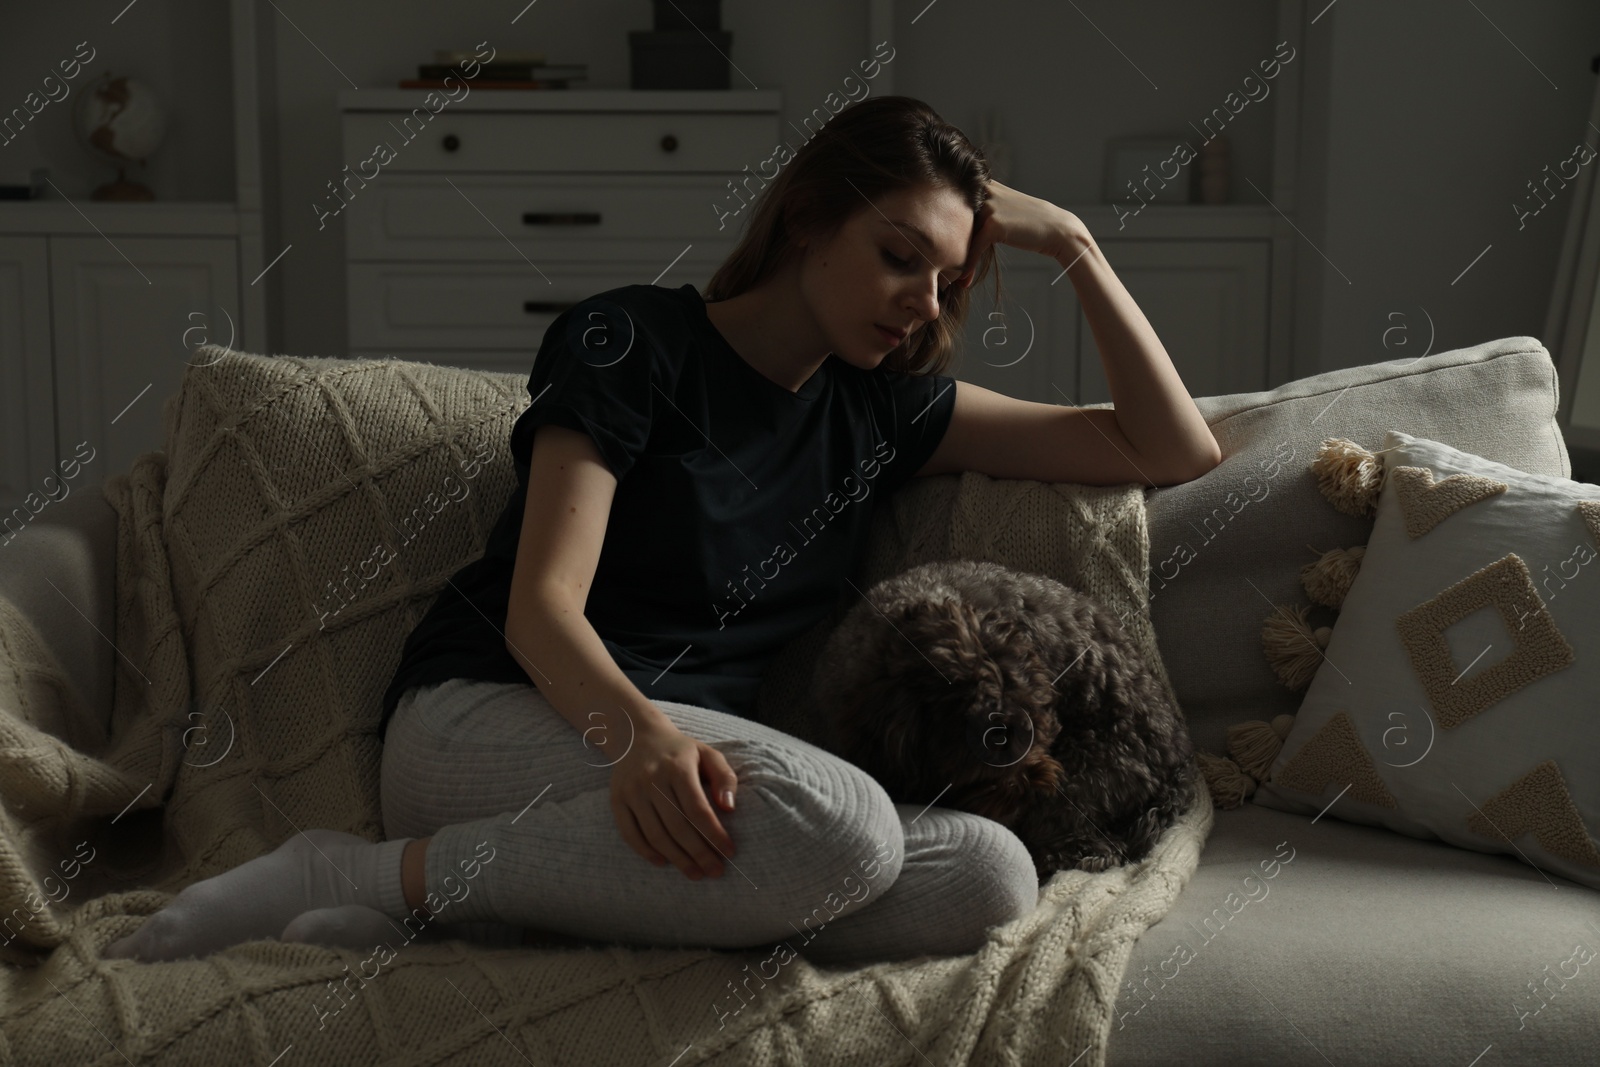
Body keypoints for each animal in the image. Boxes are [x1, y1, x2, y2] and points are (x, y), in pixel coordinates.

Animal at [819, 559, 1196, 883]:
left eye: (1043, 735)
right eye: (986, 757)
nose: (1032, 791)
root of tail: (1178, 761)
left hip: (1089, 776)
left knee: (1096, 849)